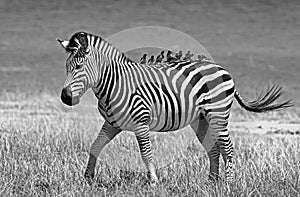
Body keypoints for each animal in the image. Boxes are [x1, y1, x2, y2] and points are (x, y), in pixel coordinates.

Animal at [56, 31, 290, 185]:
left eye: (79, 67)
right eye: (66, 67)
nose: (65, 97)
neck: (115, 83)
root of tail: (222, 69)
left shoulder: (140, 122)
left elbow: (146, 153)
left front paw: (153, 181)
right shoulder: (112, 123)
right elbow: (95, 146)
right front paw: (87, 178)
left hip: (218, 114)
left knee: (228, 148)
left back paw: (229, 184)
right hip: (201, 119)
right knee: (214, 148)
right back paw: (211, 182)